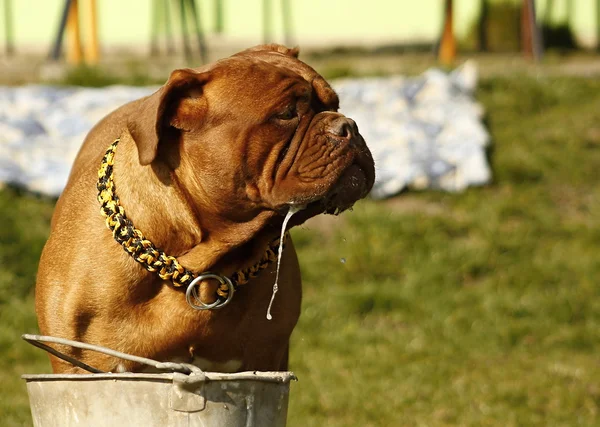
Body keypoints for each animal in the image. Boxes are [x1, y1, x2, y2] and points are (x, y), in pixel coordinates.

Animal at [35, 45, 372, 374]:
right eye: (287, 113)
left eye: (336, 105)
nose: (349, 126)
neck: (198, 264)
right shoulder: (81, 365)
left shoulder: (265, 359)